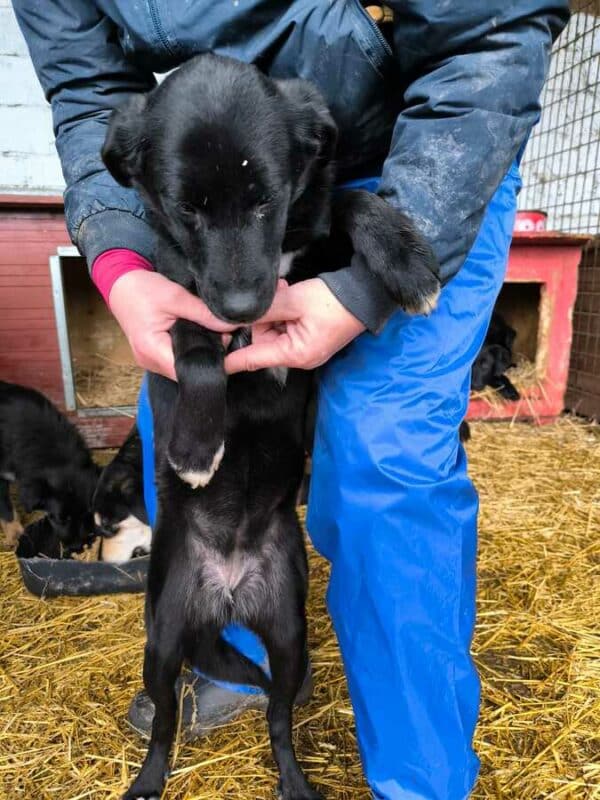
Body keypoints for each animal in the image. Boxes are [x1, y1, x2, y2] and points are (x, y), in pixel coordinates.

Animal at [104, 54, 440, 800]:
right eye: (186, 208)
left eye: (268, 198)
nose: (239, 307)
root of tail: (227, 591)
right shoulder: (179, 301)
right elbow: (197, 354)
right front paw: (197, 446)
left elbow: (350, 202)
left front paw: (406, 261)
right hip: (162, 643)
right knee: (165, 723)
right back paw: (147, 779)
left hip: (289, 637)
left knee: (280, 720)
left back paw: (294, 780)